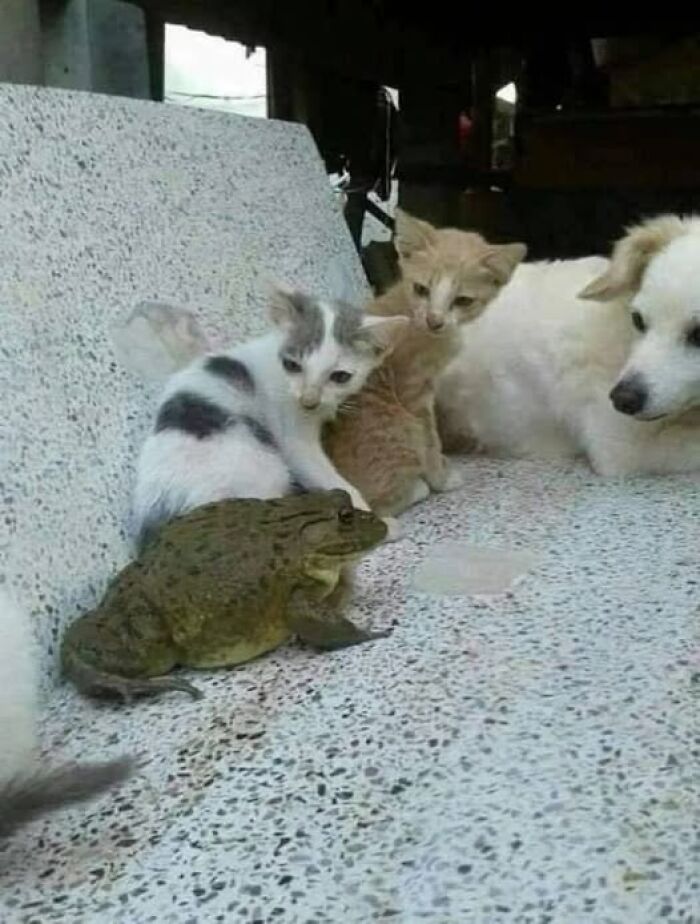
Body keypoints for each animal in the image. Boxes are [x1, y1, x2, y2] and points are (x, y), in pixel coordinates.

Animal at [133, 287, 408, 546]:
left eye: (340, 376)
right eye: (293, 365)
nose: (309, 400)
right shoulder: (294, 439)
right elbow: (330, 478)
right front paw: (378, 525)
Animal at [324, 210, 527, 516]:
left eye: (463, 300)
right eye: (421, 289)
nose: (435, 320)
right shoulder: (412, 391)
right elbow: (429, 439)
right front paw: (441, 477)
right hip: (397, 428)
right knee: (379, 504)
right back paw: (417, 488)